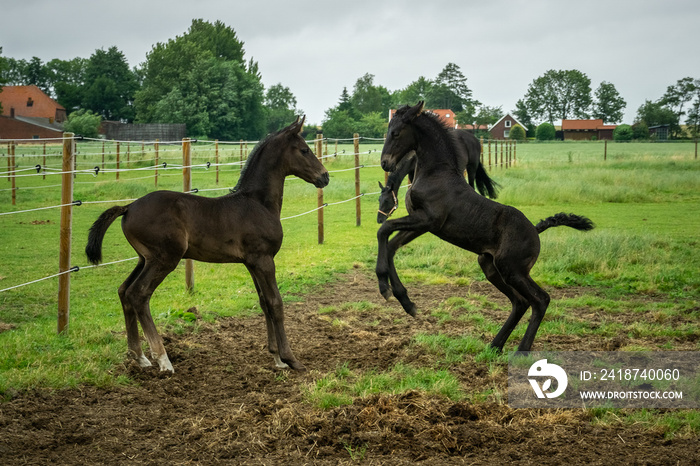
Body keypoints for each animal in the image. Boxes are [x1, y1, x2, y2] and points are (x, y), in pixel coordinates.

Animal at [87, 118, 328, 374]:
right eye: (304, 150)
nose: (325, 176)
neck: (257, 203)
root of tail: (129, 207)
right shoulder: (264, 260)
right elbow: (276, 303)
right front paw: (291, 359)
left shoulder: (252, 263)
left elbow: (264, 302)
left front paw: (276, 358)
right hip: (165, 258)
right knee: (138, 294)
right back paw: (163, 359)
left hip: (144, 259)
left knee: (124, 291)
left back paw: (139, 357)